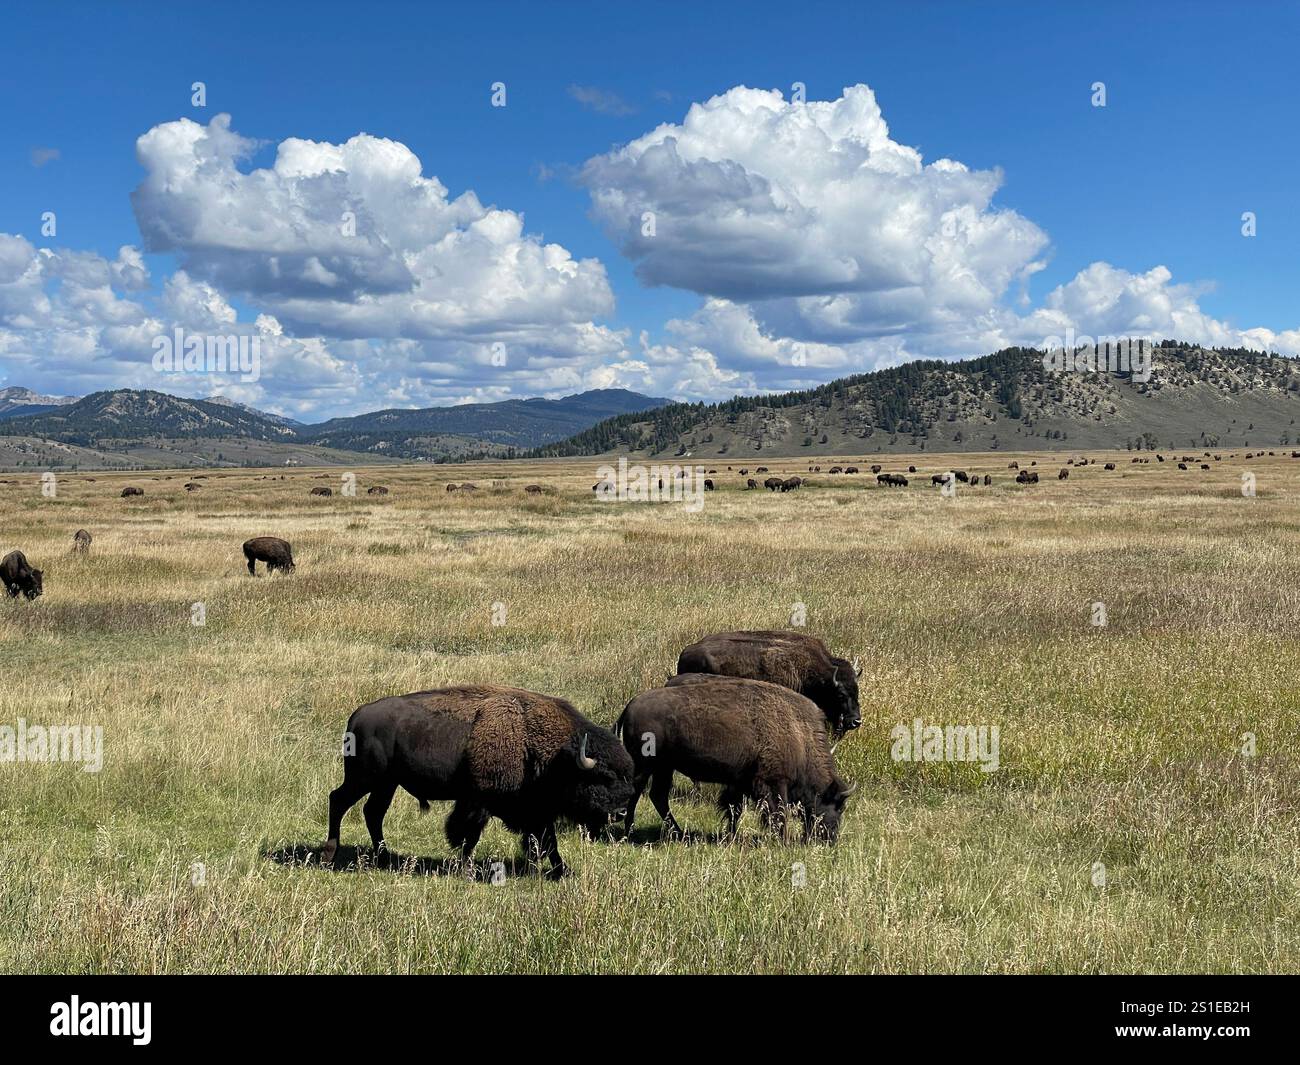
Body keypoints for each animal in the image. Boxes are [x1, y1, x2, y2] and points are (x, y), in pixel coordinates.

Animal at [322, 685, 635, 879]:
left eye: (626, 775)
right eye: (603, 777)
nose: (620, 813)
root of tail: (357, 716)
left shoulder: (538, 811)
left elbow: (548, 842)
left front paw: (560, 871)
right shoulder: (478, 802)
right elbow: (467, 836)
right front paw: (467, 871)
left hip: (386, 784)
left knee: (372, 813)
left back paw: (384, 857)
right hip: (364, 778)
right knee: (338, 800)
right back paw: (330, 856)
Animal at [617, 676, 854, 841]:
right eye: (837, 806)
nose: (830, 838)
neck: (799, 734)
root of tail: (630, 705)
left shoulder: (740, 782)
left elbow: (734, 809)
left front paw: (730, 836)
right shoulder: (773, 783)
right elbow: (777, 812)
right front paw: (783, 840)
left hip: (664, 767)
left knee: (658, 796)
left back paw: (678, 832)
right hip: (646, 765)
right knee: (637, 793)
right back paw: (630, 831)